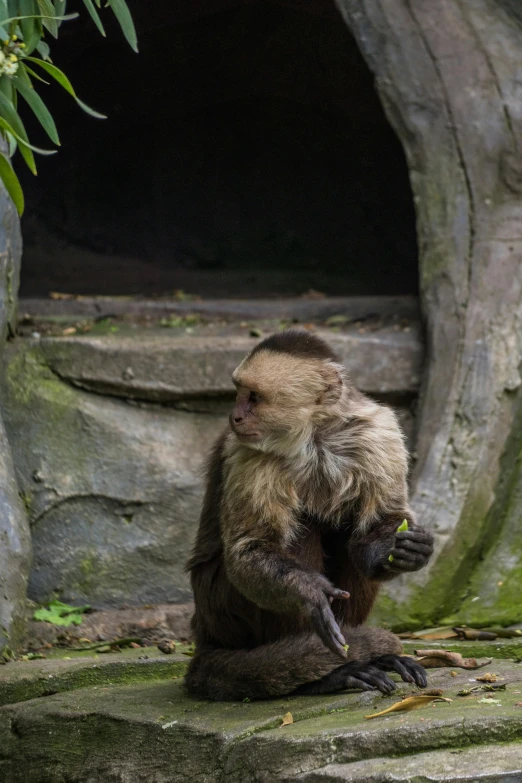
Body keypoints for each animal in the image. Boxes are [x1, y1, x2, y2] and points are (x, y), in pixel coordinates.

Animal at [185, 328, 432, 700]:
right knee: (300, 530)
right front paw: (308, 592)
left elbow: (377, 528)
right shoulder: (247, 453)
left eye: (254, 397)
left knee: (348, 538)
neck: (314, 435)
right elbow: (250, 549)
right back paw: (326, 672)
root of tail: (204, 634)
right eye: (240, 394)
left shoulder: (378, 432)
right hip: (219, 610)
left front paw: (406, 551)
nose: (235, 416)